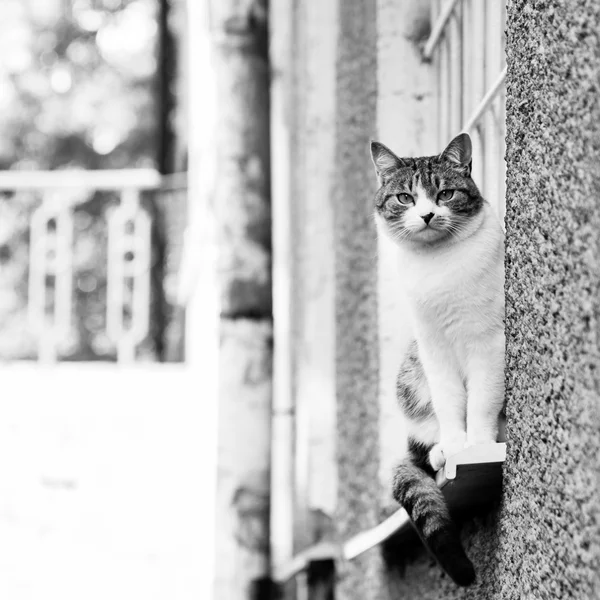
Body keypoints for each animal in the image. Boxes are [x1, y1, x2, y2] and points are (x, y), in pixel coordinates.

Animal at [370, 132, 506, 584]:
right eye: (405, 197)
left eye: (445, 194)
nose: (428, 214)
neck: (437, 267)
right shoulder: (433, 349)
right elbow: (450, 404)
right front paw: (454, 444)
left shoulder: (488, 343)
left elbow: (480, 401)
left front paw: (477, 445)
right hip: (411, 375)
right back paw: (437, 452)